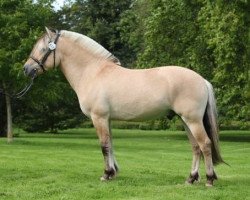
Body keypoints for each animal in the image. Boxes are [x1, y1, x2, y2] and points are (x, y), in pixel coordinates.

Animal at [23, 27, 224, 187]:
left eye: (43, 49)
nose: (26, 69)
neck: (93, 72)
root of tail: (202, 80)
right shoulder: (108, 119)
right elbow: (111, 144)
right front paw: (113, 173)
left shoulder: (99, 118)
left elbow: (104, 145)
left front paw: (106, 175)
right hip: (185, 120)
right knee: (196, 147)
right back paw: (191, 178)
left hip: (193, 120)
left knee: (205, 144)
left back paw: (209, 179)